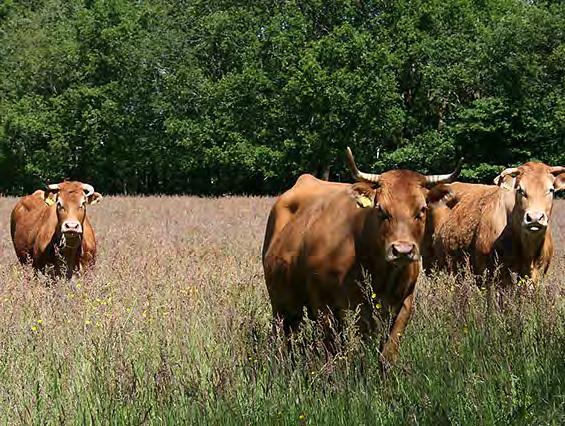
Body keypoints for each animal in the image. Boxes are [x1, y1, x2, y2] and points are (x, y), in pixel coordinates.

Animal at [262, 150, 460, 366]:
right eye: (380, 209)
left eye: (422, 209)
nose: (402, 250)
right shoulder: (326, 305)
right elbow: (335, 350)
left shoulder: (403, 304)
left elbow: (387, 354)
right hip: (281, 302)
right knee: (285, 337)